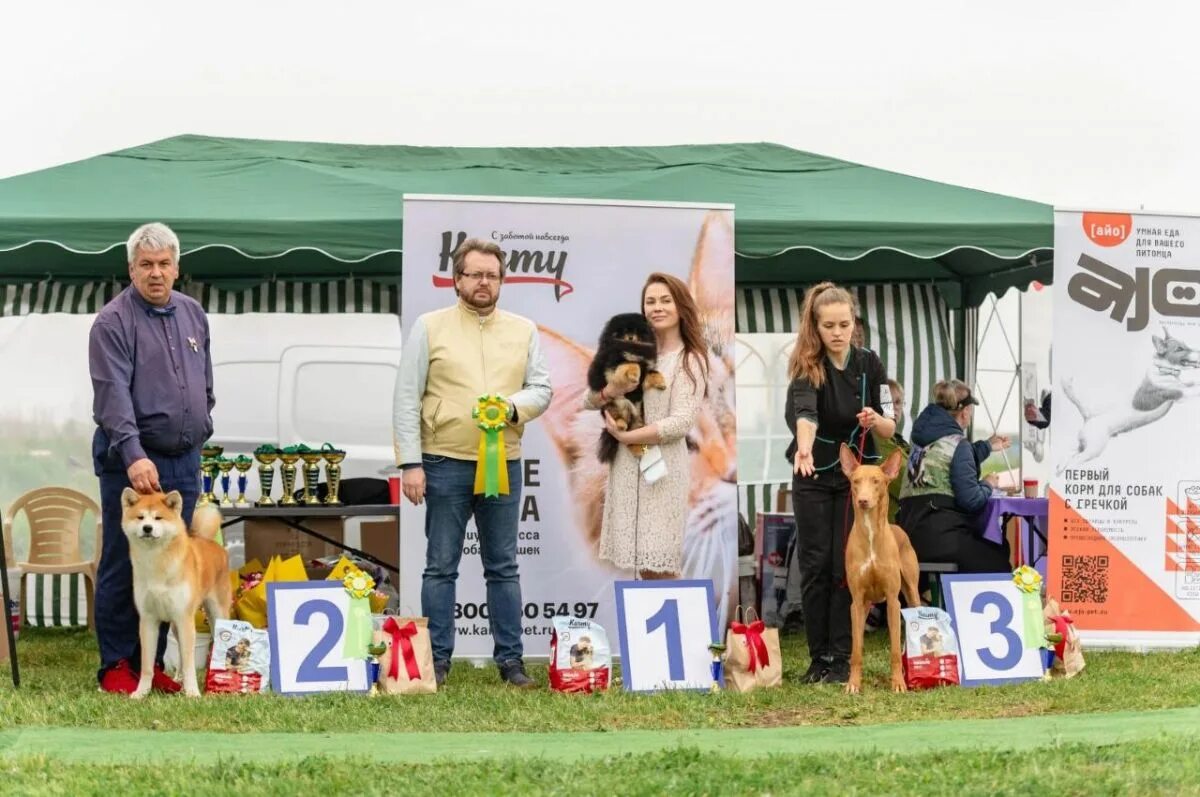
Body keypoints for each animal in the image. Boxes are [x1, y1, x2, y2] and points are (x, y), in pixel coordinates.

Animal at [121, 489, 231, 700]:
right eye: (140, 517)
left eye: (158, 518)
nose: (147, 528)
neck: (156, 563)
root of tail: (209, 542)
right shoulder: (148, 620)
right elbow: (147, 665)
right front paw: (141, 692)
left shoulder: (184, 618)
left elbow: (189, 664)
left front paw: (193, 692)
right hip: (176, 626)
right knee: (180, 655)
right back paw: (178, 679)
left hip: (215, 614)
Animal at [588, 312, 672, 460]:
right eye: (624, 331)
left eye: (637, 331)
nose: (631, 337)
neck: (632, 347)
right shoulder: (612, 366)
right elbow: (630, 363)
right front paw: (633, 374)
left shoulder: (646, 365)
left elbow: (652, 371)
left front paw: (661, 382)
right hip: (616, 405)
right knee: (619, 422)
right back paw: (620, 424)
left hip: (638, 416)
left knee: (631, 436)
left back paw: (637, 449)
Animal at [844, 444, 916, 696]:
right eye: (856, 481)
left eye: (876, 481)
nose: (863, 501)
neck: (870, 534)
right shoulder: (856, 601)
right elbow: (856, 650)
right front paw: (853, 684)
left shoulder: (894, 601)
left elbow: (894, 650)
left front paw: (899, 683)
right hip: (865, 605)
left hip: (911, 591)